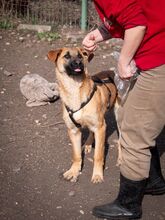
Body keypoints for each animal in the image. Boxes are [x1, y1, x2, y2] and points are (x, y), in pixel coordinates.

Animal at [47, 47, 117, 183]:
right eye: (66, 56)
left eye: (80, 56)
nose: (78, 63)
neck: (74, 90)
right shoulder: (73, 130)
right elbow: (76, 155)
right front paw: (74, 171)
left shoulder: (100, 128)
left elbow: (98, 155)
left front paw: (97, 175)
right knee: (90, 131)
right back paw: (88, 144)